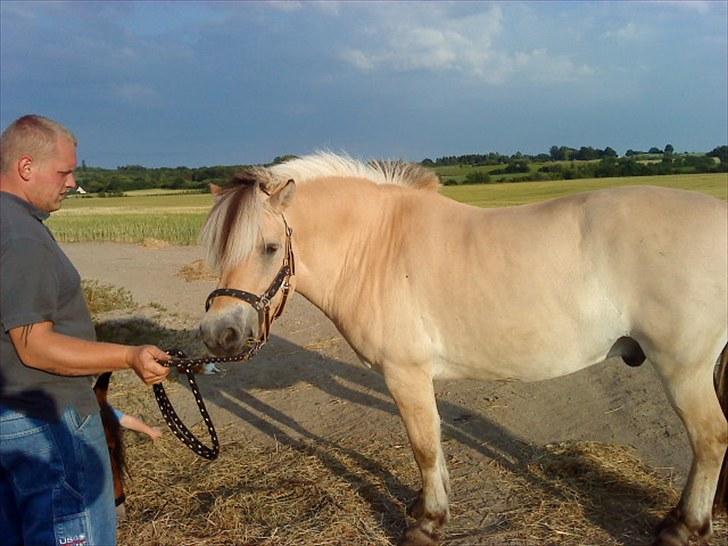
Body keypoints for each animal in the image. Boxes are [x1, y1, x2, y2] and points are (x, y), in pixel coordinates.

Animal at [198, 153, 728, 544]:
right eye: (222, 250)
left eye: (269, 247)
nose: (218, 333)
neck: (377, 246)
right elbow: (433, 443)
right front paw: (426, 506)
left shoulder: (405, 373)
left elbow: (424, 445)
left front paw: (428, 522)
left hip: (683, 369)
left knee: (710, 440)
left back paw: (684, 528)